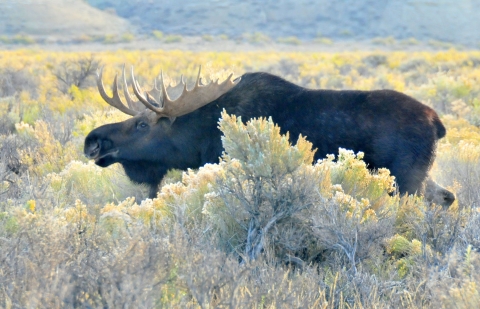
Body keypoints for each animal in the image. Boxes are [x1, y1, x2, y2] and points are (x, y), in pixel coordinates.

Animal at [84, 65, 456, 206]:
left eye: (142, 125)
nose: (93, 140)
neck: (198, 138)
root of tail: (437, 122)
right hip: (421, 176)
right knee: (447, 197)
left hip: (406, 178)